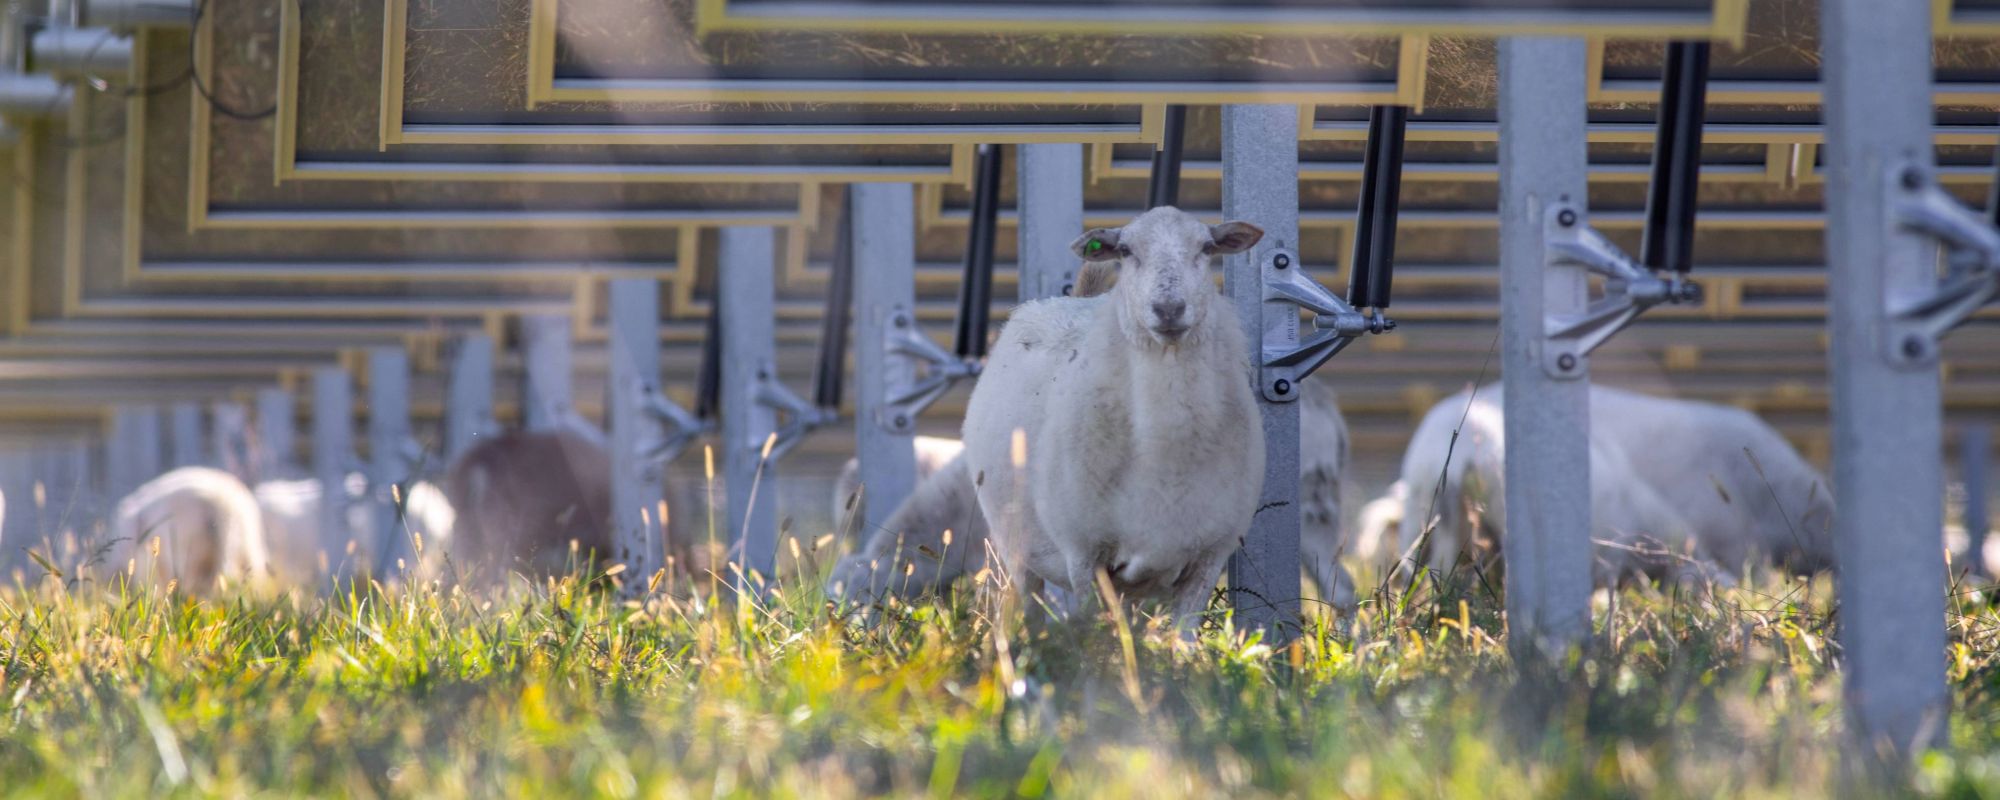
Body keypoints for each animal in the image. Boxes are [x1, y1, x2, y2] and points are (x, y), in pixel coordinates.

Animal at [961, 206, 1267, 621]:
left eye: (1206, 248)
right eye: (1125, 251)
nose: (1168, 309)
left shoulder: (1207, 558)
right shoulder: (1085, 555)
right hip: (1019, 553)